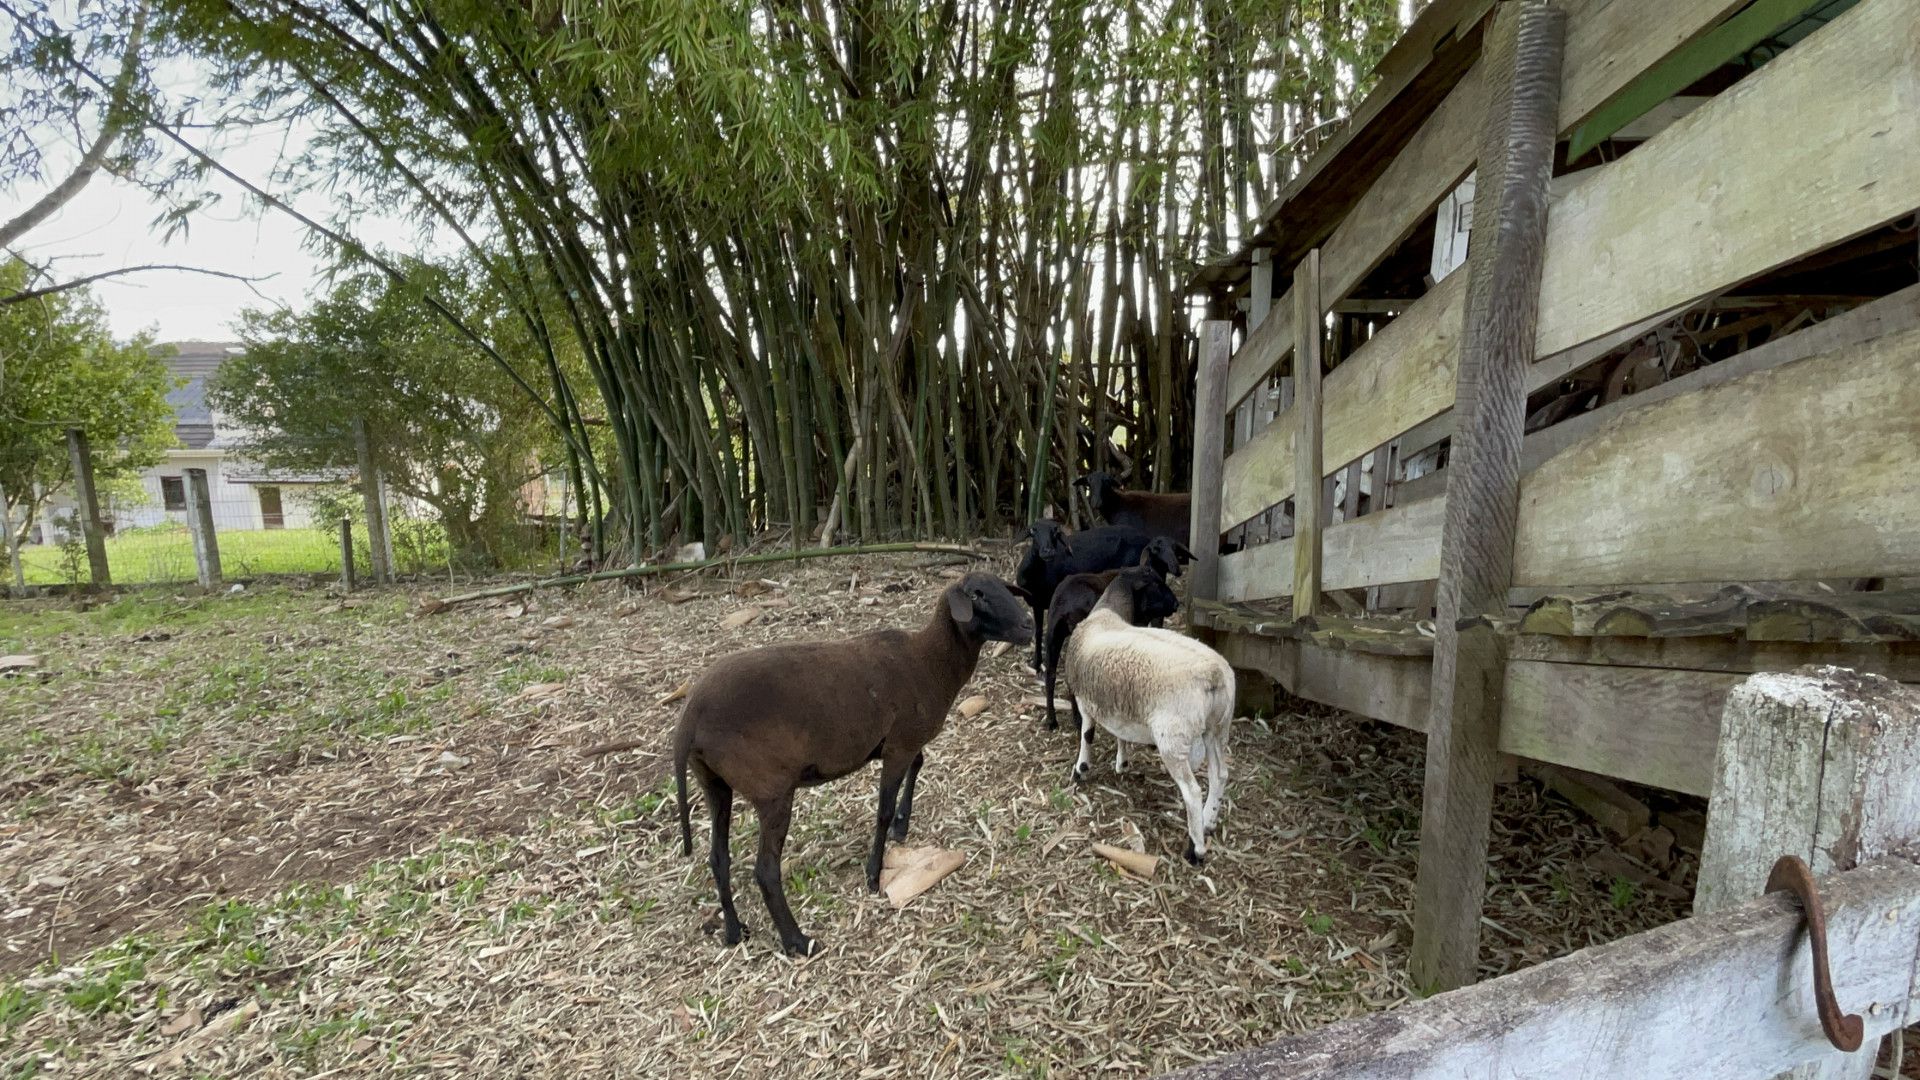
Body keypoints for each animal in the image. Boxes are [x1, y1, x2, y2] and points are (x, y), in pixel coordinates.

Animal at [675, 568, 1036, 953]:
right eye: (978, 595)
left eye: (1004, 588)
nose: (1028, 625)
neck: (929, 661)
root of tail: (689, 718)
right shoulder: (899, 744)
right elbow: (883, 810)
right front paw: (873, 875)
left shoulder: (904, 739)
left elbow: (919, 764)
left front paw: (902, 827)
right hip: (771, 789)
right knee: (765, 870)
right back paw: (798, 941)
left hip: (714, 782)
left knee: (718, 858)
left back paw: (732, 931)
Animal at [1059, 564, 1236, 857]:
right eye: (1156, 586)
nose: (1173, 605)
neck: (1104, 615)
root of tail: (1213, 674)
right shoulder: (1117, 703)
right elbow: (1120, 734)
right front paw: (1122, 763)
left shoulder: (1085, 702)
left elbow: (1087, 734)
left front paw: (1081, 769)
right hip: (1217, 728)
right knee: (1219, 774)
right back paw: (1209, 821)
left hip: (1173, 737)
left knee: (1192, 791)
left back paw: (1196, 848)